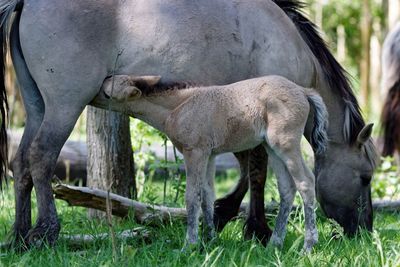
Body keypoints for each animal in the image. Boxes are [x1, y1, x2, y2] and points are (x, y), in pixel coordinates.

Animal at [94, 75, 328, 253]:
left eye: (108, 93)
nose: (98, 84)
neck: (178, 107)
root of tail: (303, 91)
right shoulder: (210, 155)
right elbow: (207, 196)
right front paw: (210, 240)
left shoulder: (195, 152)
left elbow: (192, 197)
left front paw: (189, 245)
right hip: (271, 147)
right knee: (287, 187)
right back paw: (274, 243)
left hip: (286, 144)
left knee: (306, 182)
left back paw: (308, 246)